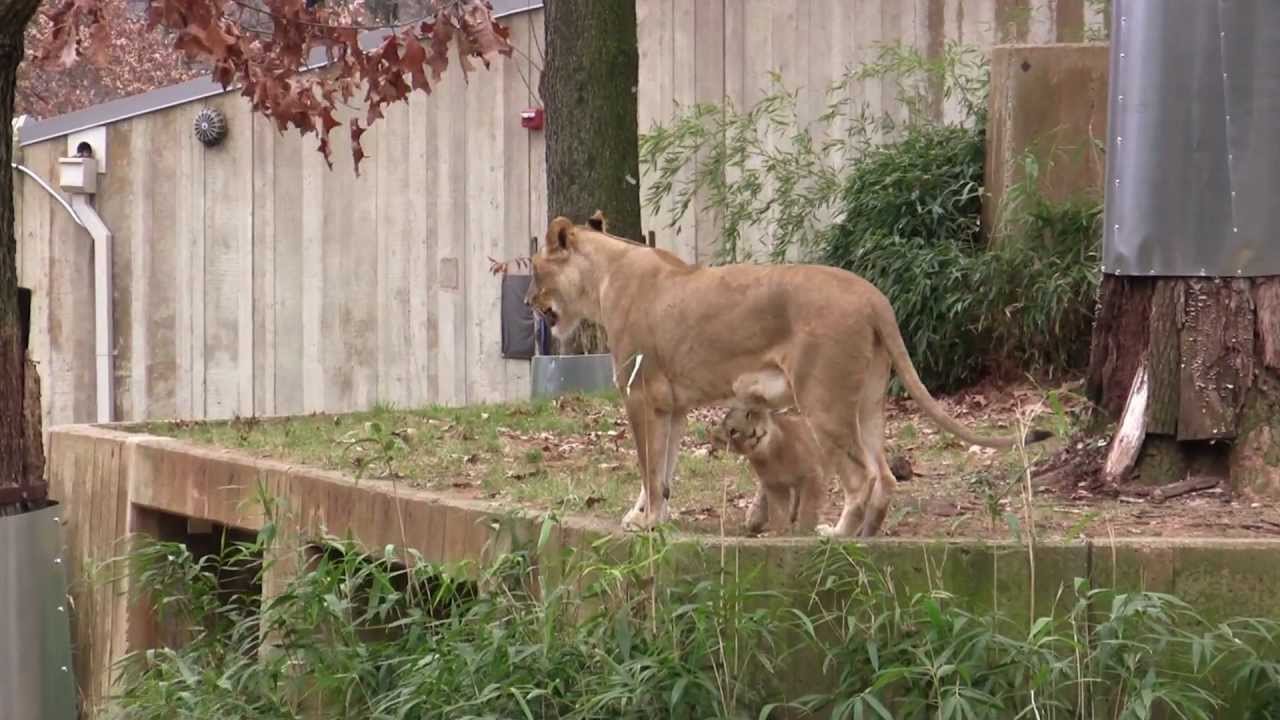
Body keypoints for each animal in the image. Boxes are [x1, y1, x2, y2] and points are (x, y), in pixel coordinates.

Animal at [526, 214, 1039, 537]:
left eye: (534, 270)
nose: (529, 302)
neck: (603, 276)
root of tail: (873, 295)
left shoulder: (639, 393)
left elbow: (649, 467)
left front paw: (648, 522)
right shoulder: (673, 405)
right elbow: (664, 469)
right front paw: (648, 517)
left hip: (822, 401)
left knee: (860, 478)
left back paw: (836, 534)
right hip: (867, 403)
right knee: (884, 475)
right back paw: (867, 536)